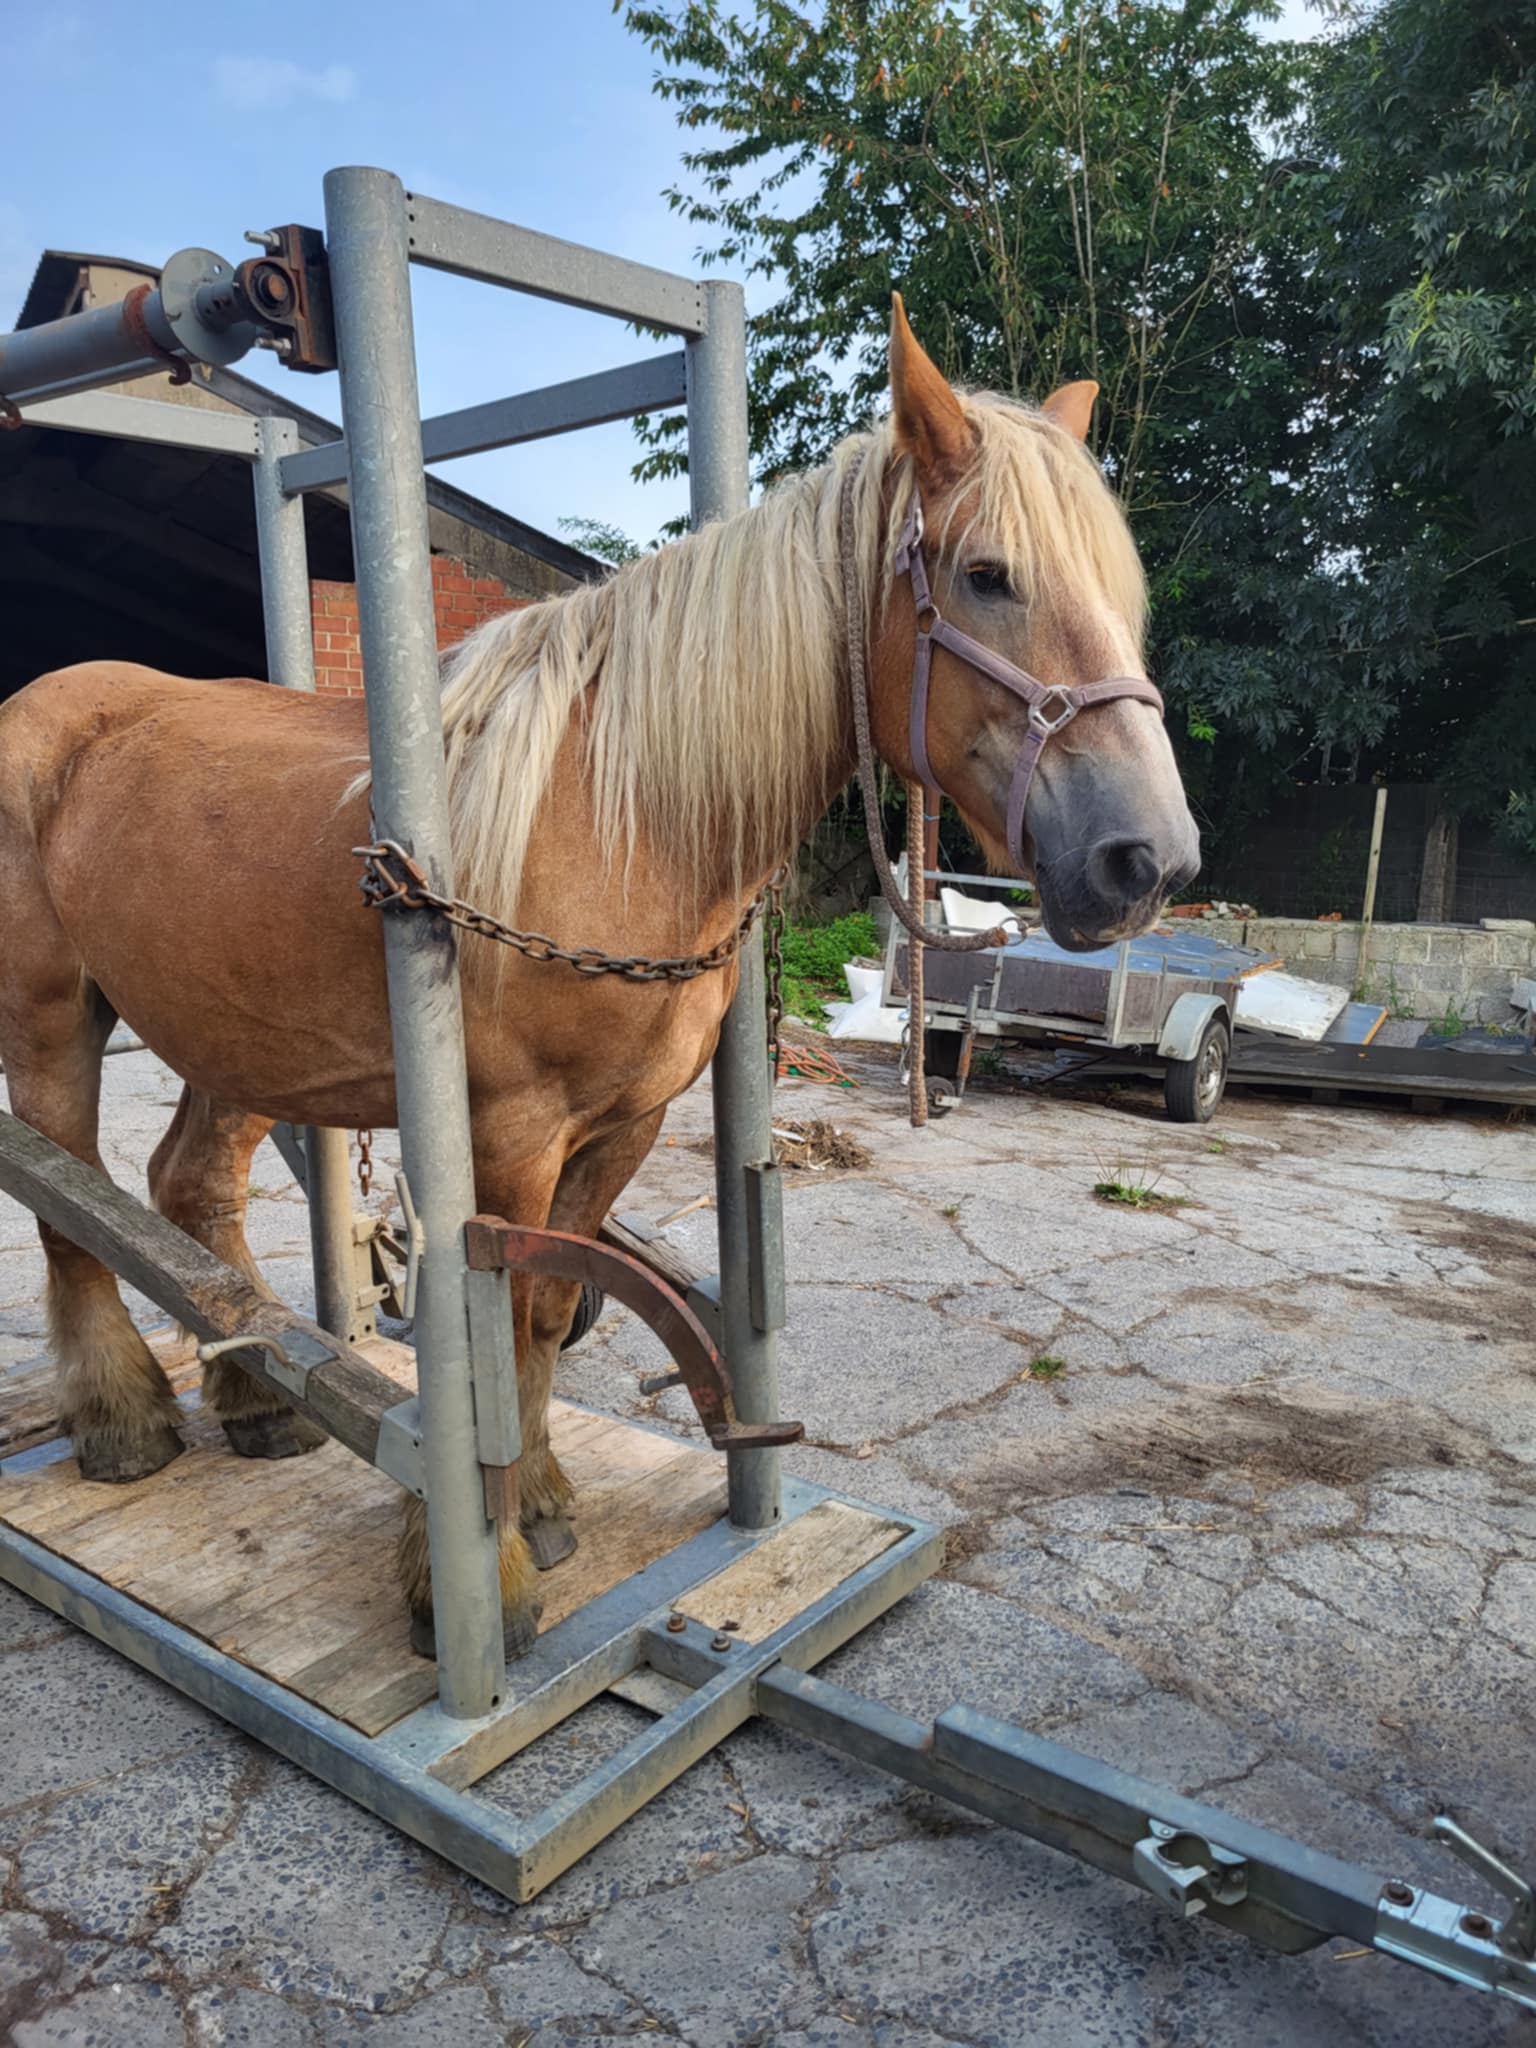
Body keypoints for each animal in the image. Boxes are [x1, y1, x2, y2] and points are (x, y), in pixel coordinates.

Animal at [0, 296, 1204, 1654]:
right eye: (987, 575)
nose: (1148, 859)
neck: (624, 818)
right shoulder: (508, 1134)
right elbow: (488, 1336)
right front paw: (470, 1579)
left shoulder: (620, 1127)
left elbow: (540, 1315)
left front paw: (537, 1502)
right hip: (50, 1023)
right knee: (67, 1198)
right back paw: (123, 1421)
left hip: (232, 1038)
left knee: (186, 1186)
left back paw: (258, 1403)